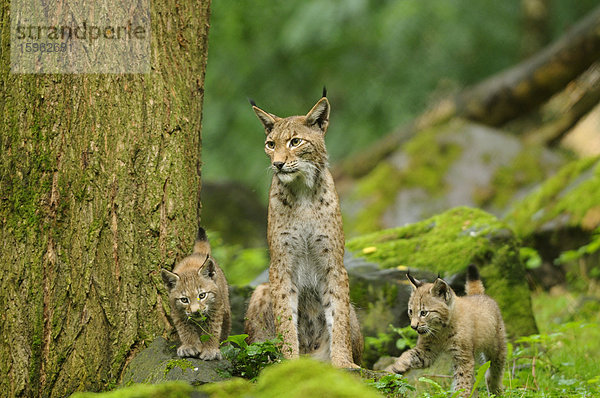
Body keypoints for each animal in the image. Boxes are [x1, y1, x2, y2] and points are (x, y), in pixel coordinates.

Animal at [161, 227, 231, 360]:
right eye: (184, 300)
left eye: (202, 296)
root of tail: (198, 253)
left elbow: (212, 330)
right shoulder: (176, 312)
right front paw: (190, 346)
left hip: (225, 304)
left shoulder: (216, 308)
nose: (195, 311)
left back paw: (226, 346)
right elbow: (185, 329)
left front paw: (210, 350)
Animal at [384, 264, 506, 398]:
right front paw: (392, 369)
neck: (441, 330)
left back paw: (496, 391)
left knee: (494, 370)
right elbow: (408, 355)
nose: (413, 327)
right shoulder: (427, 351)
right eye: (411, 311)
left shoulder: (463, 357)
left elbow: (463, 380)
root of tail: (478, 294)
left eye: (423, 313)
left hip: (496, 346)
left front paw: (461, 395)